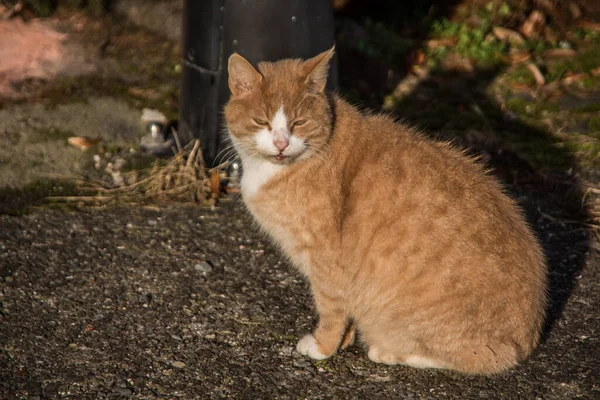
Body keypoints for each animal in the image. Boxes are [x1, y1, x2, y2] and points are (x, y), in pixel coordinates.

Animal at [224, 47, 548, 376]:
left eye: (299, 122)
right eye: (261, 121)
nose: (280, 144)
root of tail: (530, 336)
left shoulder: (327, 261)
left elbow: (330, 308)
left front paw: (323, 347)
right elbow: (345, 312)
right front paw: (344, 341)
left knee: (479, 358)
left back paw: (389, 351)